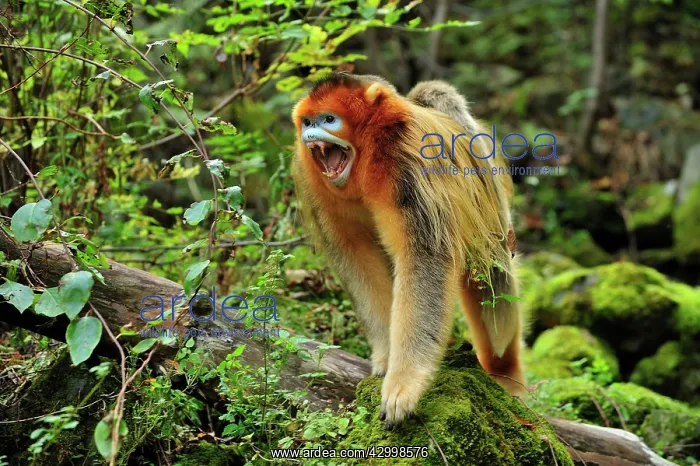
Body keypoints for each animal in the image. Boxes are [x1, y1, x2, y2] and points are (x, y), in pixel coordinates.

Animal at [291, 73, 525, 429]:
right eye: (307, 122)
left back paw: (505, 371)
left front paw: (404, 385)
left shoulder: (408, 167)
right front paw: (387, 357)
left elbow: (425, 260)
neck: (367, 158)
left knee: (493, 276)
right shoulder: (315, 184)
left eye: (328, 120)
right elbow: (357, 261)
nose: (310, 134)